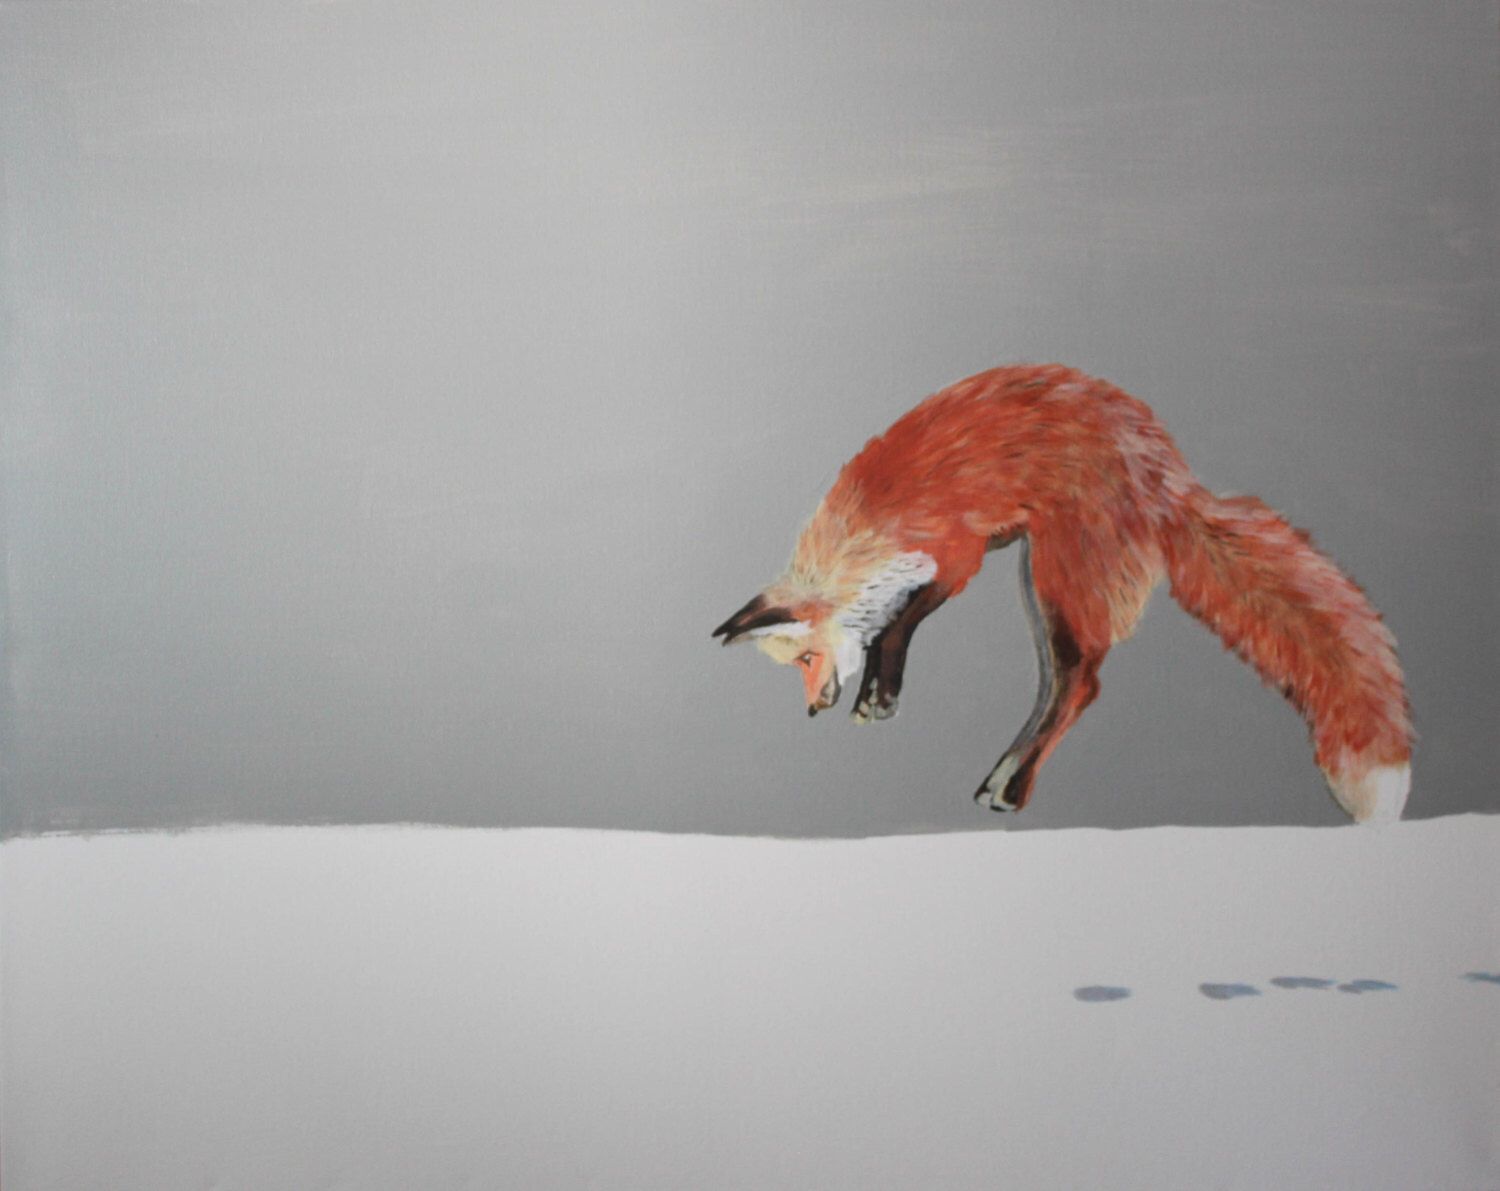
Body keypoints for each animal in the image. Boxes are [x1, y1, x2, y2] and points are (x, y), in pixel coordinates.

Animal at [712, 364, 1412, 824]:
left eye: (807, 660)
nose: (812, 710)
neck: (866, 528)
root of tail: (1167, 473)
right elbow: (889, 625)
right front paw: (875, 695)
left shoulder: (956, 554)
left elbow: (903, 622)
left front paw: (880, 694)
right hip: (1040, 580)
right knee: (1059, 685)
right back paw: (1005, 773)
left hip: (1060, 585)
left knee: (1080, 685)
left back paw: (1011, 787)